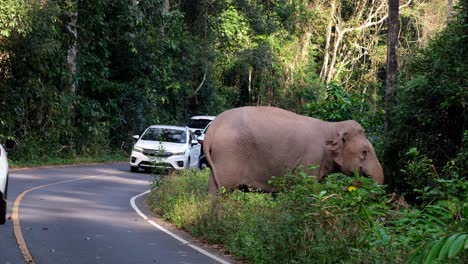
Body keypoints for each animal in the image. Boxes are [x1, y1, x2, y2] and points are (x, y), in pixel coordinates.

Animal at [204, 105, 384, 194]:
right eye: (364, 152)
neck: (334, 126)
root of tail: (212, 128)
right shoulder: (311, 159)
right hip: (229, 154)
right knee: (220, 190)